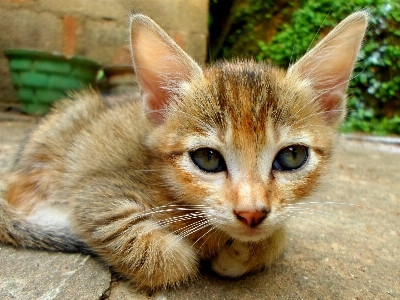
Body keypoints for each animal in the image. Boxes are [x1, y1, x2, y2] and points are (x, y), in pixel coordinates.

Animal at [0, 11, 368, 290]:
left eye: (292, 157)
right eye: (207, 158)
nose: (251, 213)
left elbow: (277, 235)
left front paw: (242, 252)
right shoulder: (95, 196)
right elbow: (168, 259)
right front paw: (192, 252)